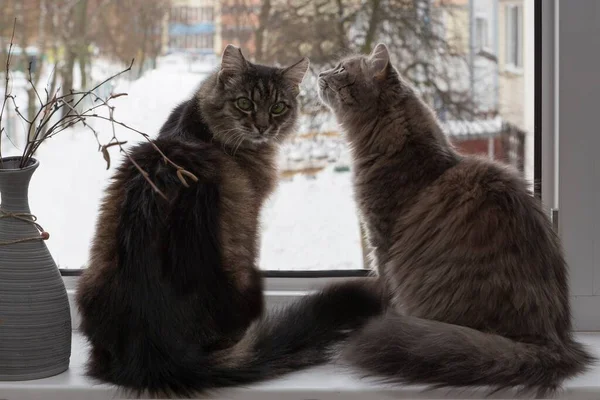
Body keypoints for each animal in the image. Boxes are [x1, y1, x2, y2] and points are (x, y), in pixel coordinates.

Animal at [77, 44, 382, 396]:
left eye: (278, 107)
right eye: (244, 103)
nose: (263, 127)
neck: (199, 127)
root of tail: (154, 346)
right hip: (243, 277)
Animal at [316, 43, 592, 396]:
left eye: (341, 69)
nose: (320, 73)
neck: (401, 147)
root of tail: (549, 342)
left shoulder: (381, 244)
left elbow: (386, 293)